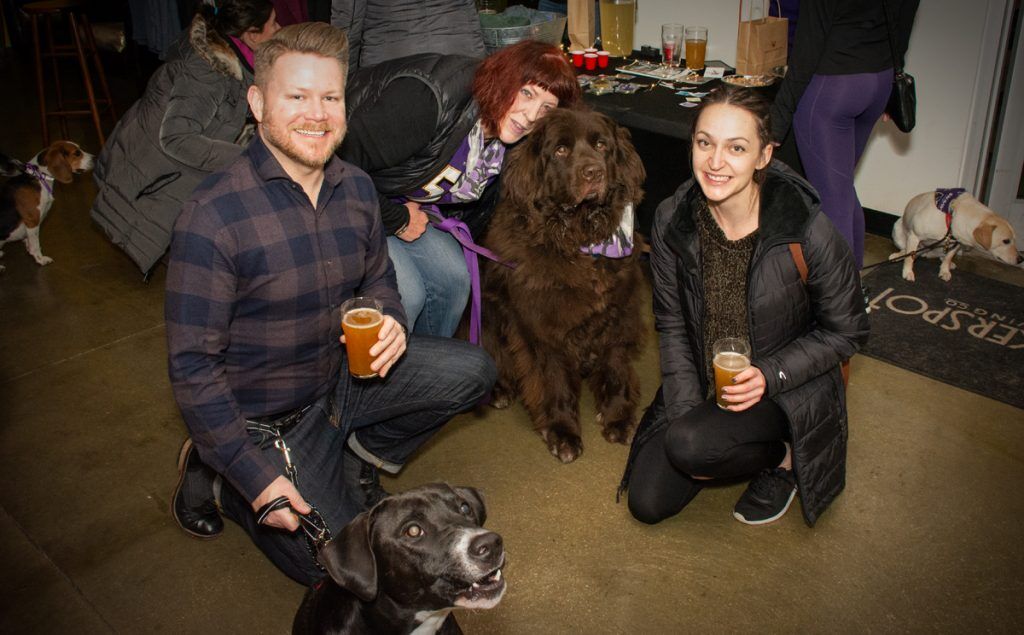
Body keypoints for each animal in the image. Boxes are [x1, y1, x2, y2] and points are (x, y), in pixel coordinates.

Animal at [0, 141, 94, 272]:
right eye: (77, 153)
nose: (95, 158)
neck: (40, 176)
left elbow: (30, 241)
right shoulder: (32, 221)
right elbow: (35, 244)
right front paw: (40, 259)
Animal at [481, 109, 643, 462]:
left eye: (601, 145)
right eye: (560, 150)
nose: (594, 172)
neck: (579, 240)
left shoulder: (618, 316)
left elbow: (615, 368)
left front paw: (617, 417)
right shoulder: (544, 330)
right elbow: (554, 382)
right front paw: (563, 433)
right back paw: (499, 388)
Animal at [888, 188, 1024, 282]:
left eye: (1014, 239)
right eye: (1006, 241)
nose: (1020, 259)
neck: (952, 215)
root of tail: (927, 253)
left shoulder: (957, 243)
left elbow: (949, 257)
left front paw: (945, 270)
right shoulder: (914, 236)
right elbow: (910, 256)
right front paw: (908, 272)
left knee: (941, 256)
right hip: (897, 228)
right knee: (907, 250)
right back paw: (898, 255)